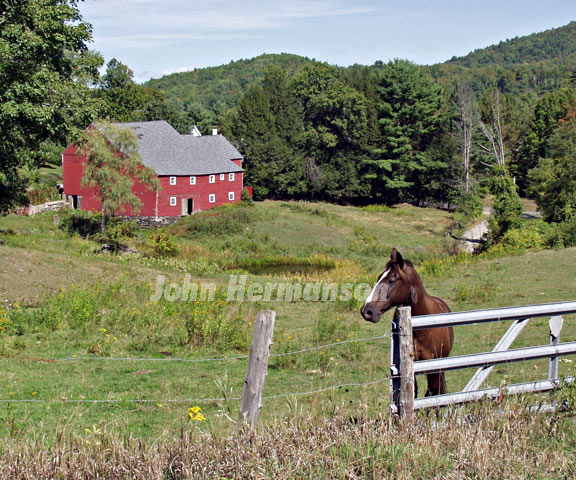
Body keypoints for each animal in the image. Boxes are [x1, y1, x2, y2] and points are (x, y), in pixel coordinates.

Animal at [360, 249, 454, 396]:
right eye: (379, 277)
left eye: (391, 280)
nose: (366, 311)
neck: (423, 329)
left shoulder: (434, 367)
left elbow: (433, 392)